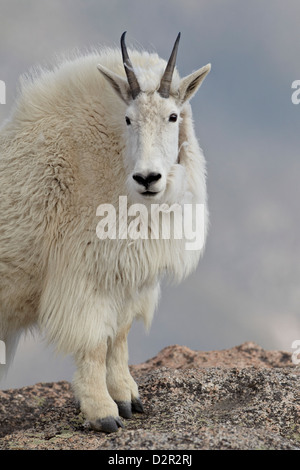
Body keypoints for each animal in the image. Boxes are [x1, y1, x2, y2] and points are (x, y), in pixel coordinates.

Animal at [0, 31, 211, 432]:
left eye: (173, 116)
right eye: (128, 118)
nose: (148, 178)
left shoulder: (127, 276)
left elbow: (120, 337)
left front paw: (129, 398)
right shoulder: (83, 274)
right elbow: (95, 343)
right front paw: (103, 413)